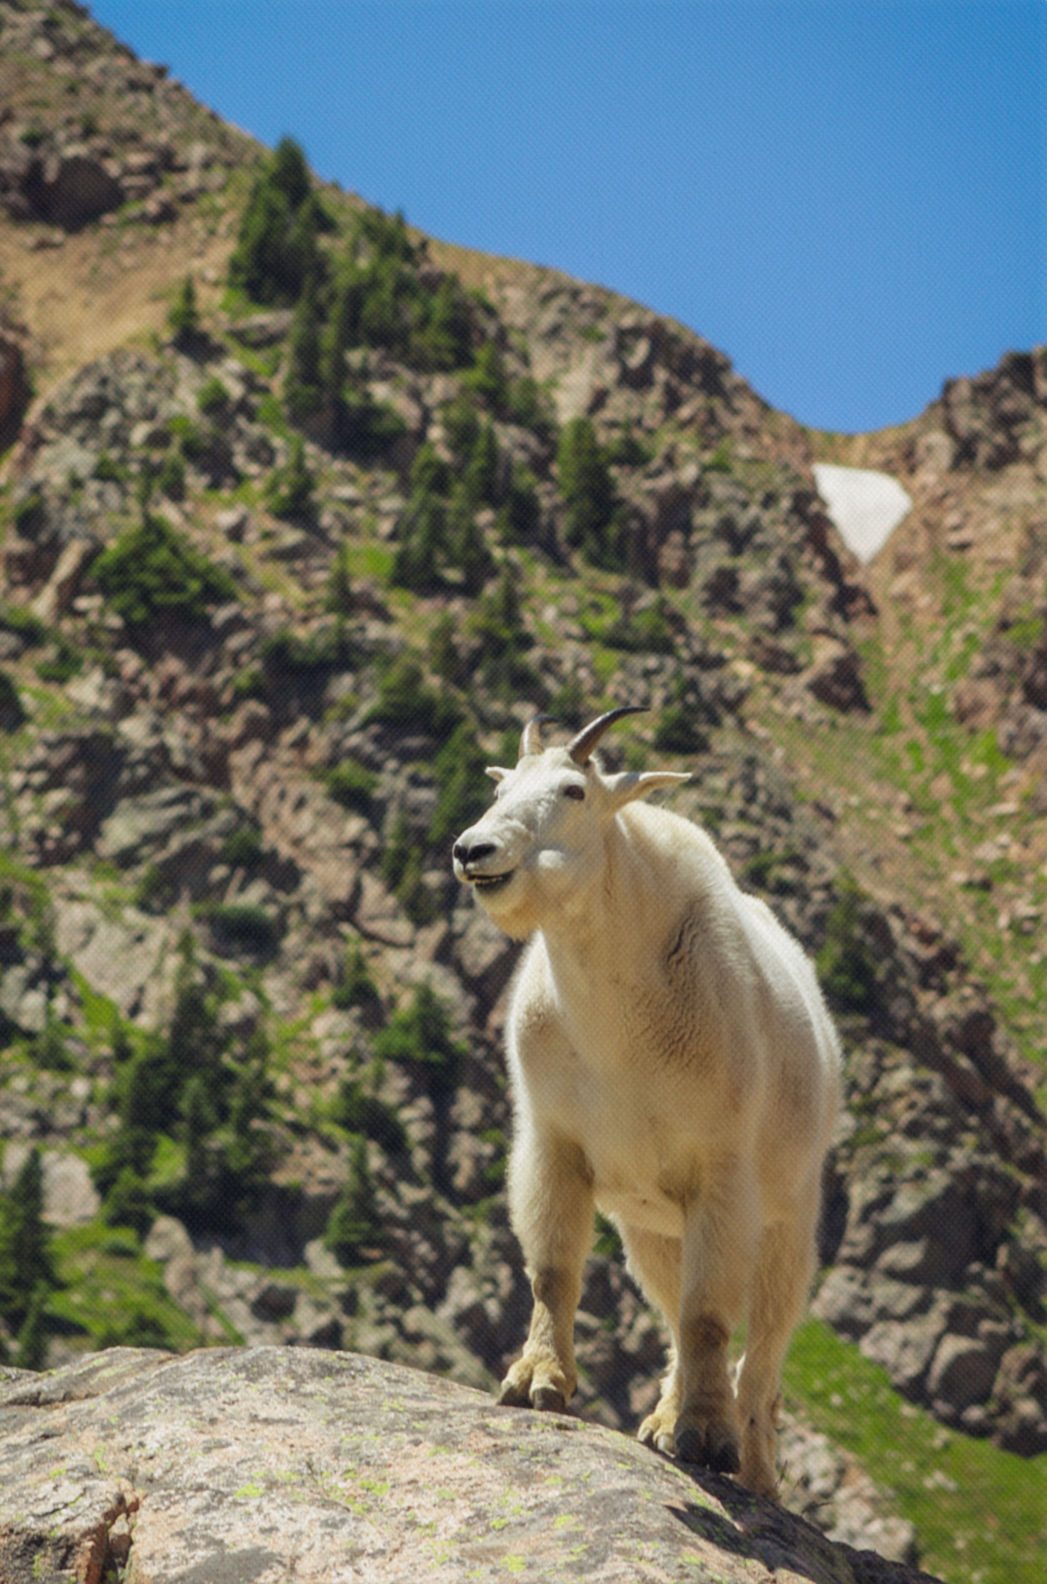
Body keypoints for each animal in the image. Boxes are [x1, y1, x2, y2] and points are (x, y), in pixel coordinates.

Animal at [452, 705, 840, 1498]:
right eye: (502, 786)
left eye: (573, 790)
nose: (472, 850)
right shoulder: (554, 1142)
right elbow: (554, 1271)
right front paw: (535, 1383)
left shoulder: (721, 1173)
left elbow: (709, 1315)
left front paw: (708, 1439)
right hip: (651, 1228)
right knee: (670, 1311)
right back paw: (663, 1420)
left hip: (789, 1215)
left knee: (766, 1339)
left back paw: (755, 1466)